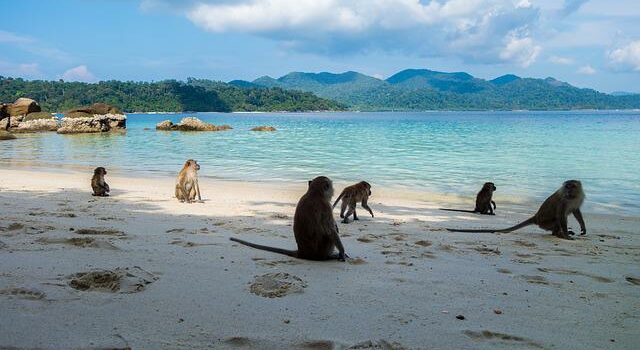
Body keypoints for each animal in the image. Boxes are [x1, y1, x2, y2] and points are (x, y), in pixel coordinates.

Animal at [444, 179, 584, 239]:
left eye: (572, 186)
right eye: (567, 186)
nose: (568, 190)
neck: (572, 197)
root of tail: (536, 217)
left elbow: (576, 211)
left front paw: (583, 228)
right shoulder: (563, 201)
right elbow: (561, 216)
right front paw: (566, 235)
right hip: (546, 223)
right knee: (558, 219)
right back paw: (559, 234)